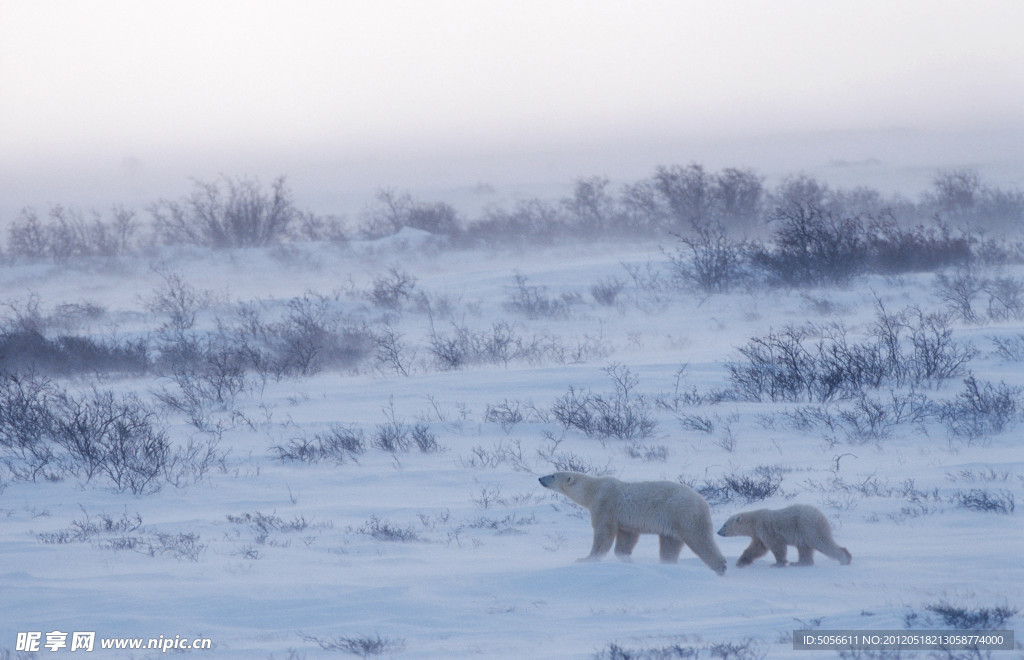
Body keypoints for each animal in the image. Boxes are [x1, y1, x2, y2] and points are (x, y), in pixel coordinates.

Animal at [536, 470, 729, 573]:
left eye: (553, 475)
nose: (540, 478)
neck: (594, 489)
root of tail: (703, 502)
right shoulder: (625, 521)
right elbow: (626, 538)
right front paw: (625, 558)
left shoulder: (605, 506)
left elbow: (603, 533)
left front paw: (586, 559)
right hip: (673, 523)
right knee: (670, 545)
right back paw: (667, 564)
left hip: (684, 515)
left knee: (700, 539)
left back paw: (720, 565)